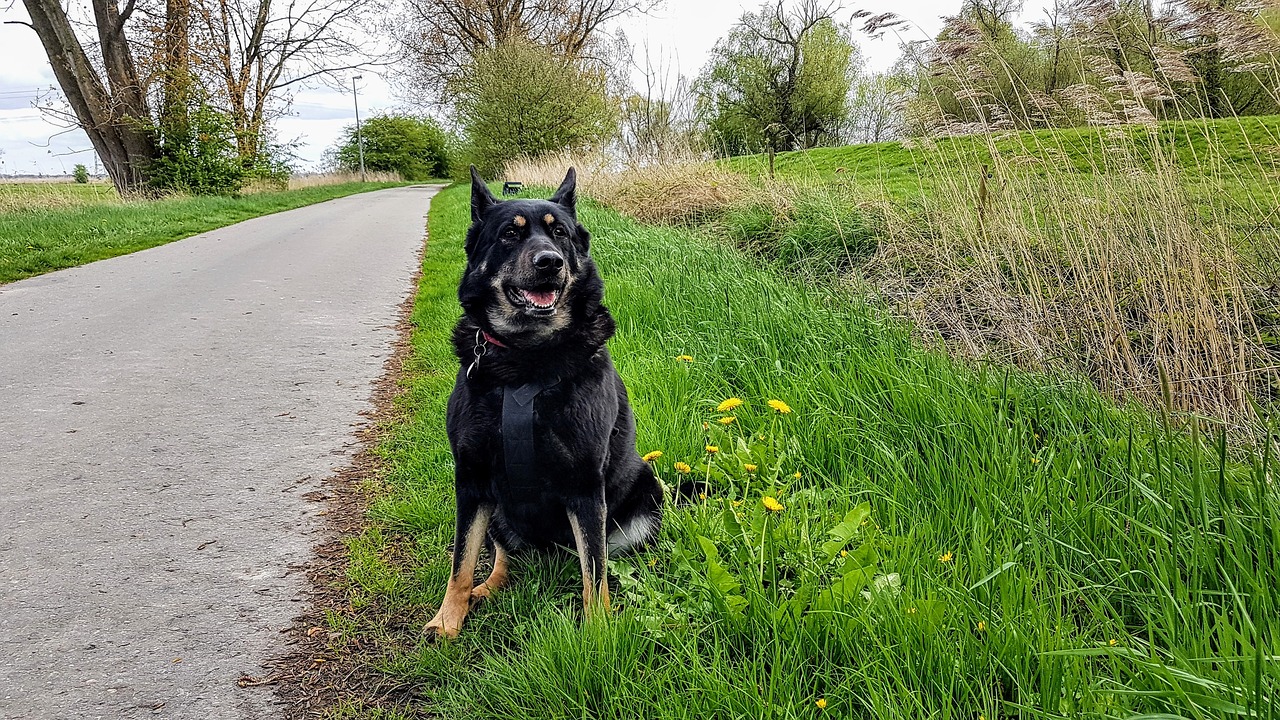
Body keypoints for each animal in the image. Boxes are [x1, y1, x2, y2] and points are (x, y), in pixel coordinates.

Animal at [427, 165, 670, 635]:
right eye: (510, 234)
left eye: (560, 234)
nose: (550, 262)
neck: (527, 357)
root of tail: (551, 552)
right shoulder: (471, 479)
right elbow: (460, 562)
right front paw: (447, 621)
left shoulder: (585, 485)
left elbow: (595, 571)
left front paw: (599, 630)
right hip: (497, 510)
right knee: (505, 555)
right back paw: (487, 588)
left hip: (645, 497)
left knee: (604, 558)